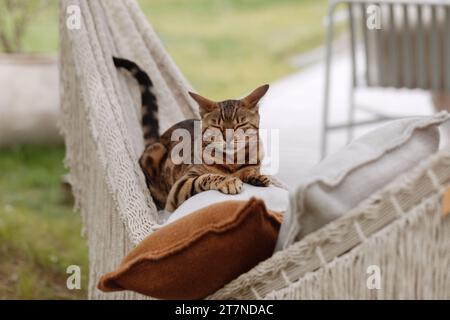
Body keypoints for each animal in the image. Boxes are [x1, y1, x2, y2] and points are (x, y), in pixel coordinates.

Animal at [113, 57, 270, 212]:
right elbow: (207, 177)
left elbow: (250, 170)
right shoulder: (180, 186)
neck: (233, 161)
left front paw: (257, 177)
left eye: (240, 125)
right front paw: (228, 181)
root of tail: (157, 139)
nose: (228, 139)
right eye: (217, 126)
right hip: (156, 151)